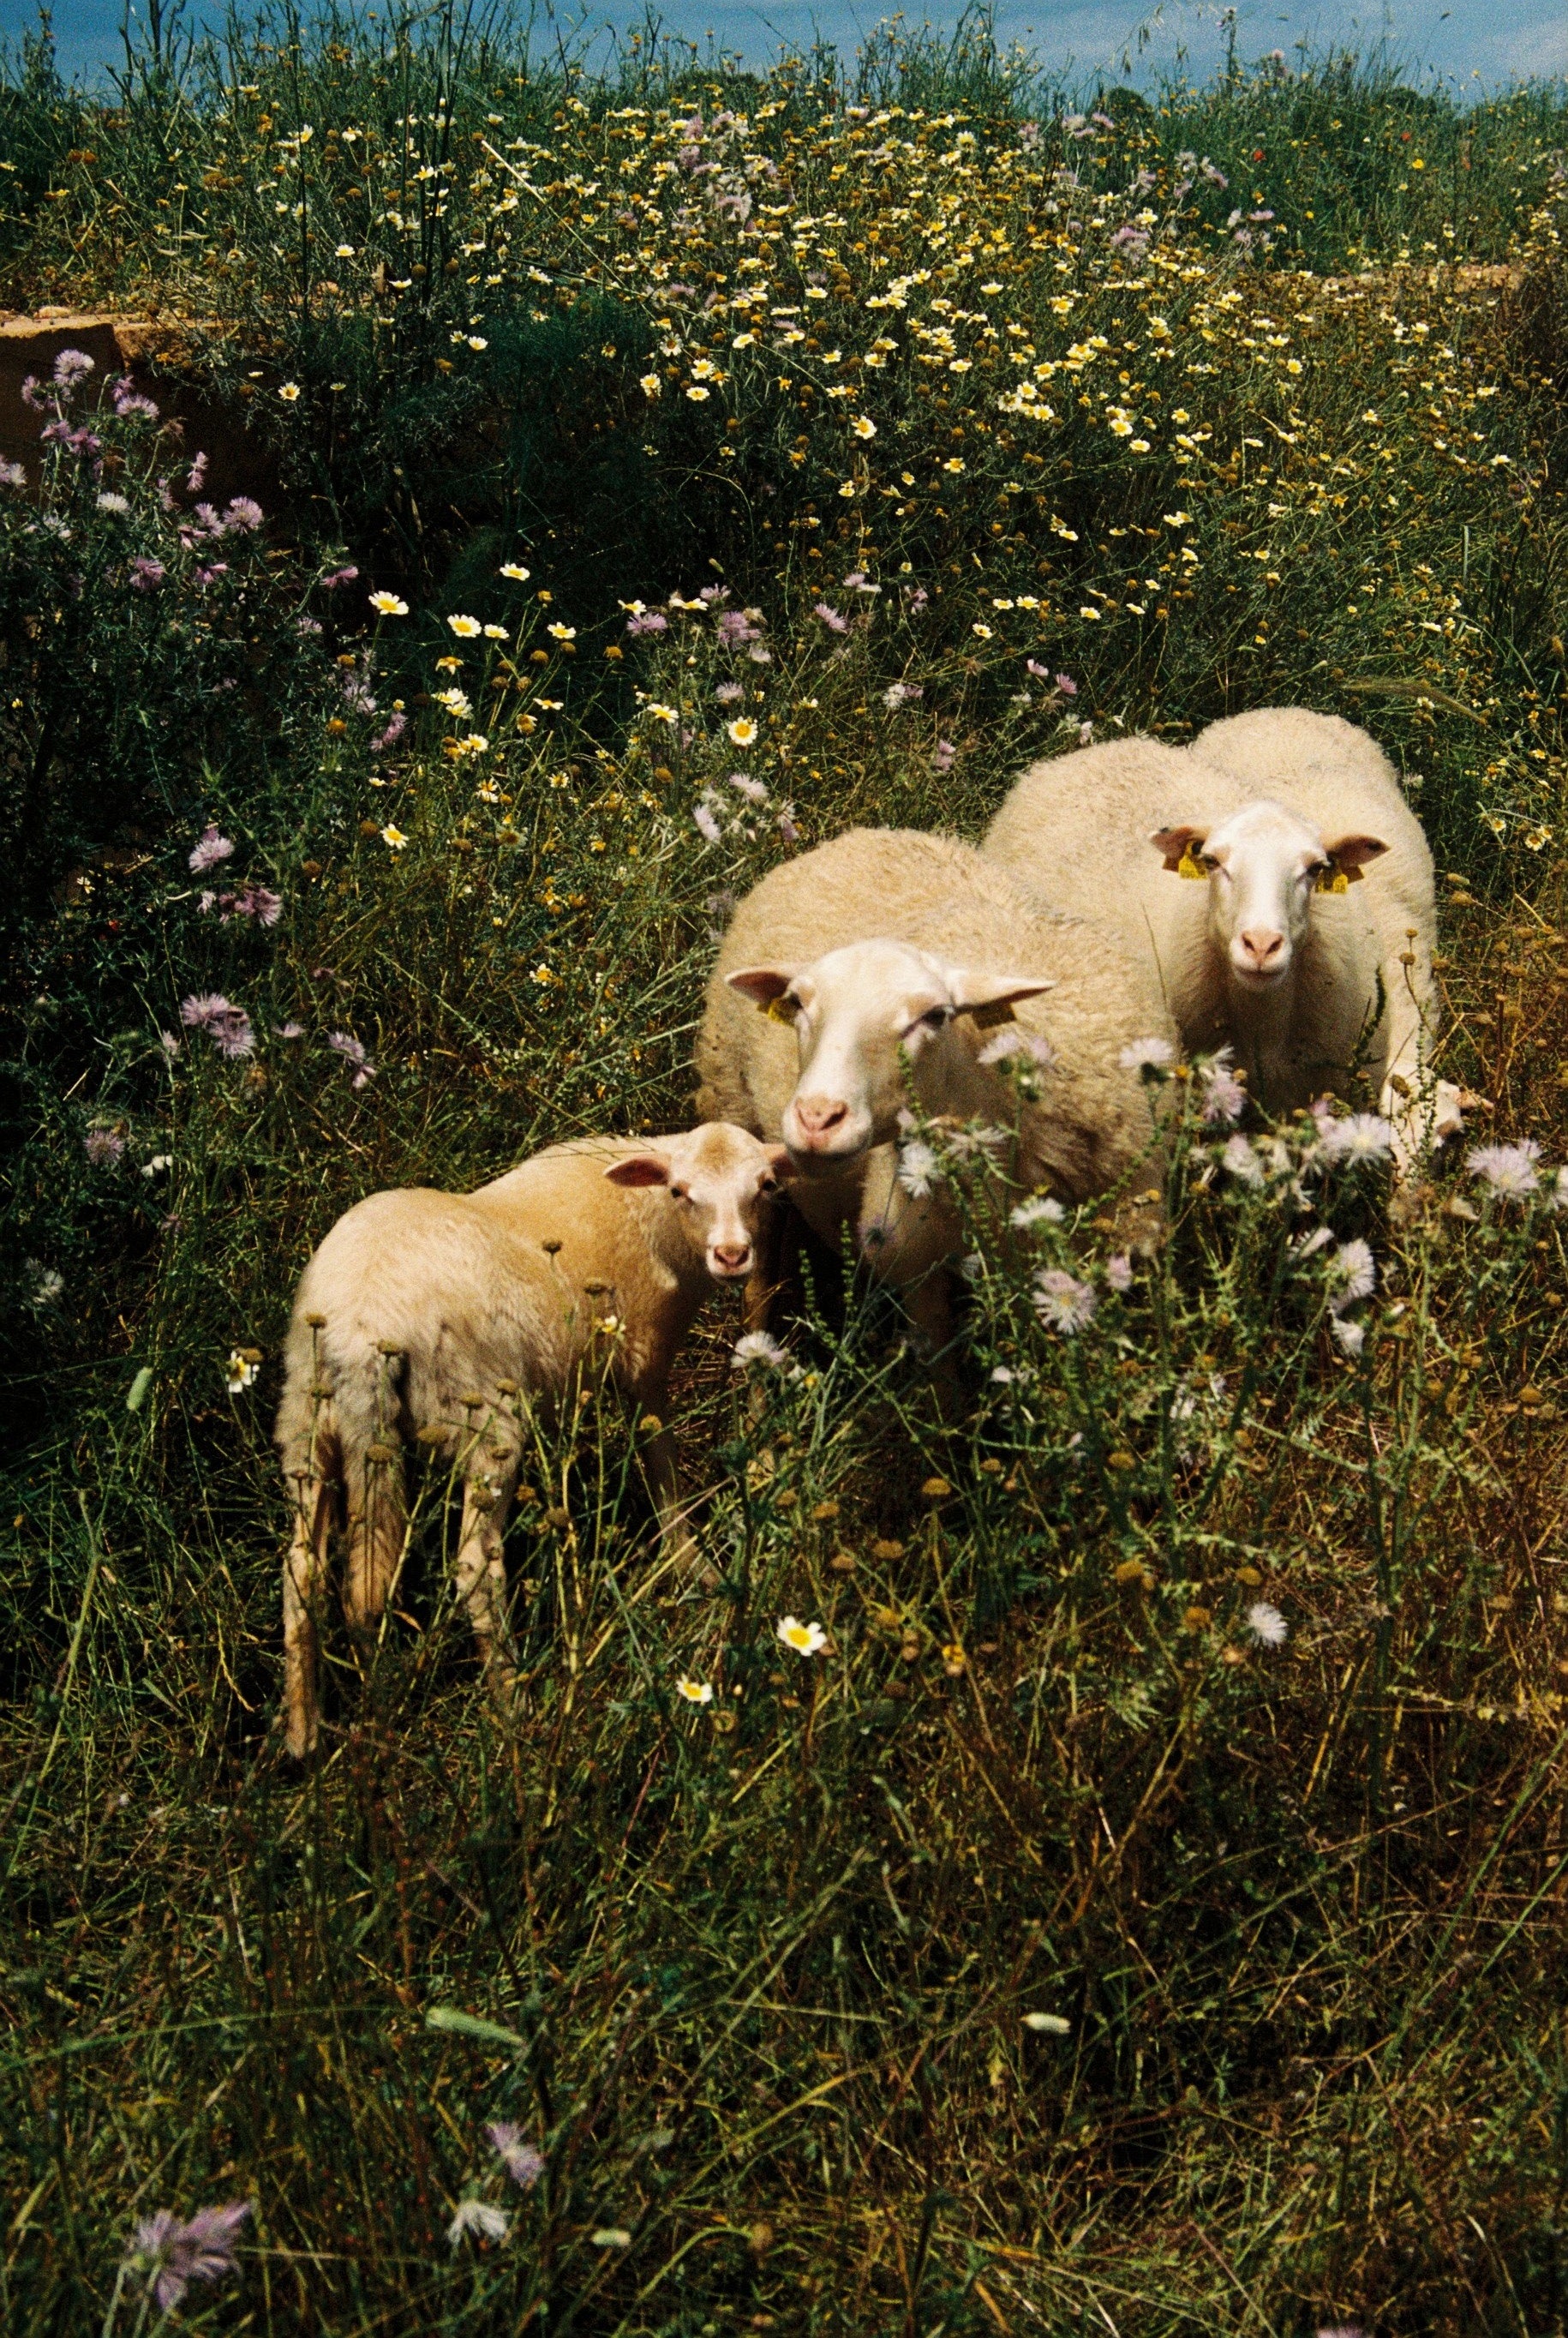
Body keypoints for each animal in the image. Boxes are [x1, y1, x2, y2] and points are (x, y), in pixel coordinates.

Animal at [275, 1122, 790, 1757]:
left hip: (305, 1416)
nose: (733, 1256)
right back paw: (514, 1712)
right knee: (474, 1565)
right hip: (483, 1418)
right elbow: (662, 1467)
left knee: (300, 1567)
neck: (647, 1214)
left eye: (764, 1186)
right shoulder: (641, 1358)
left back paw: (303, 1733)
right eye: (680, 1191)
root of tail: (365, 1324)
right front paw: (697, 1568)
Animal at [694, 826, 1178, 1363]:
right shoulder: (911, 1259)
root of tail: (860, 835)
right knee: (757, 1281)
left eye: (934, 1015)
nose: (816, 1120)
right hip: (734, 1112)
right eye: (796, 1003)